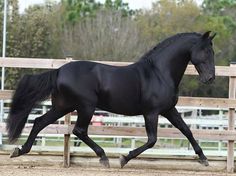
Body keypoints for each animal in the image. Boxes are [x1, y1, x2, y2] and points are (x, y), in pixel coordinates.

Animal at [6, 31, 216, 168]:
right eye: (206, 51)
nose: (210, 78)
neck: (159, 73)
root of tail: (58, 71)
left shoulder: (169, 110)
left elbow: (186, 130)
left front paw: (204, 158)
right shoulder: (151, 112)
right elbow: (152, 140)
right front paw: (124, 159)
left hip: (63, 106)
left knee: (39, 122)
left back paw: (19, 150)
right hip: (86, 106)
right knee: (79, 130)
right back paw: (104, 157)